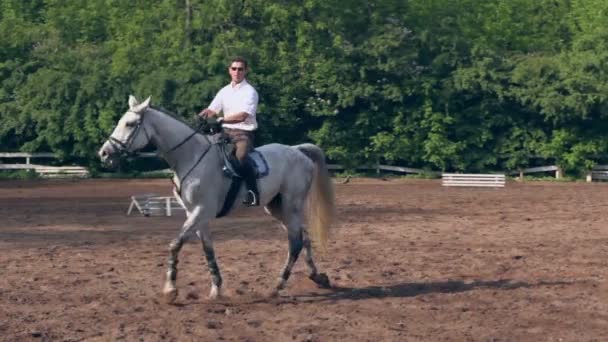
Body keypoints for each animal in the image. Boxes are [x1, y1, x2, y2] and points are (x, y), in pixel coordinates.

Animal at [100, 95, 338, 304]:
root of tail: (298, 151)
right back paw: (317, 277)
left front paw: (170, 290)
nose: (104, 153)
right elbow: (208, 250)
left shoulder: (200, 211)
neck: (191, 157)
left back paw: (277, 286)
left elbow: (175, 244)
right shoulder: (196, 215)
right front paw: (216, 289)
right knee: (303, 236)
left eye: (130, 124)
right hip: (277, 208)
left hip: (291, 206)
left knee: (295, 242)